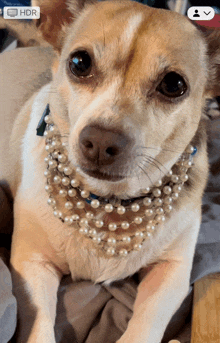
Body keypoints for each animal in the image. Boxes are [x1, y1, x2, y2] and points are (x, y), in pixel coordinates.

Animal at [0, 0, 220, 343]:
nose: (101, 142)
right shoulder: (31, 265)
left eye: (173, 85)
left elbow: (145, 325)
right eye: (79, 63)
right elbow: (40, 326)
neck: (108, 203)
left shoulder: (172, 271)